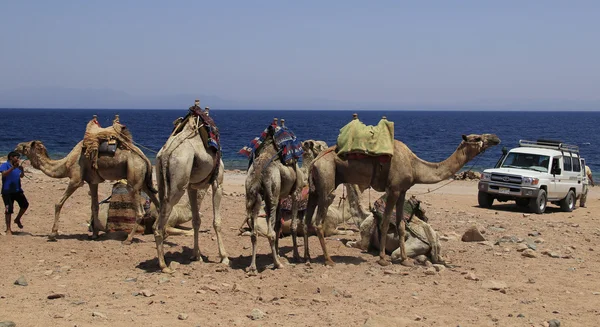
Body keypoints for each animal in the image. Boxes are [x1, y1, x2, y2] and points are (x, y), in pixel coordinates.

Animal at [14, 116, 158, 243]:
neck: (66, 163)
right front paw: (94, 234)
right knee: (157, 203)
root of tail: (145, 159)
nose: (17, 146)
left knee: (140, 211)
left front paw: (52, 234)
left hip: (134, 176)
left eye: (26, 146)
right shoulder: (92, 182)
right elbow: (94, 206)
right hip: (144, 181)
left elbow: (58, 203)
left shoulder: (76, 179)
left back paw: (128, 240)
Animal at [304, 131, 502, 266]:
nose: (496, 138)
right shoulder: (393, 189)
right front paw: (383, 259)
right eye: (477, 138)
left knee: (307, 220)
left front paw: (406, 260)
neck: (415, 166)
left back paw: (306, 258)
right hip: (326, 180)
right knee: (318, 221)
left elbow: (399, 224)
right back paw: (328, 260)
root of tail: (315, 163)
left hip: (315, 189)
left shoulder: (403, 190)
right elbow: (385, 223)